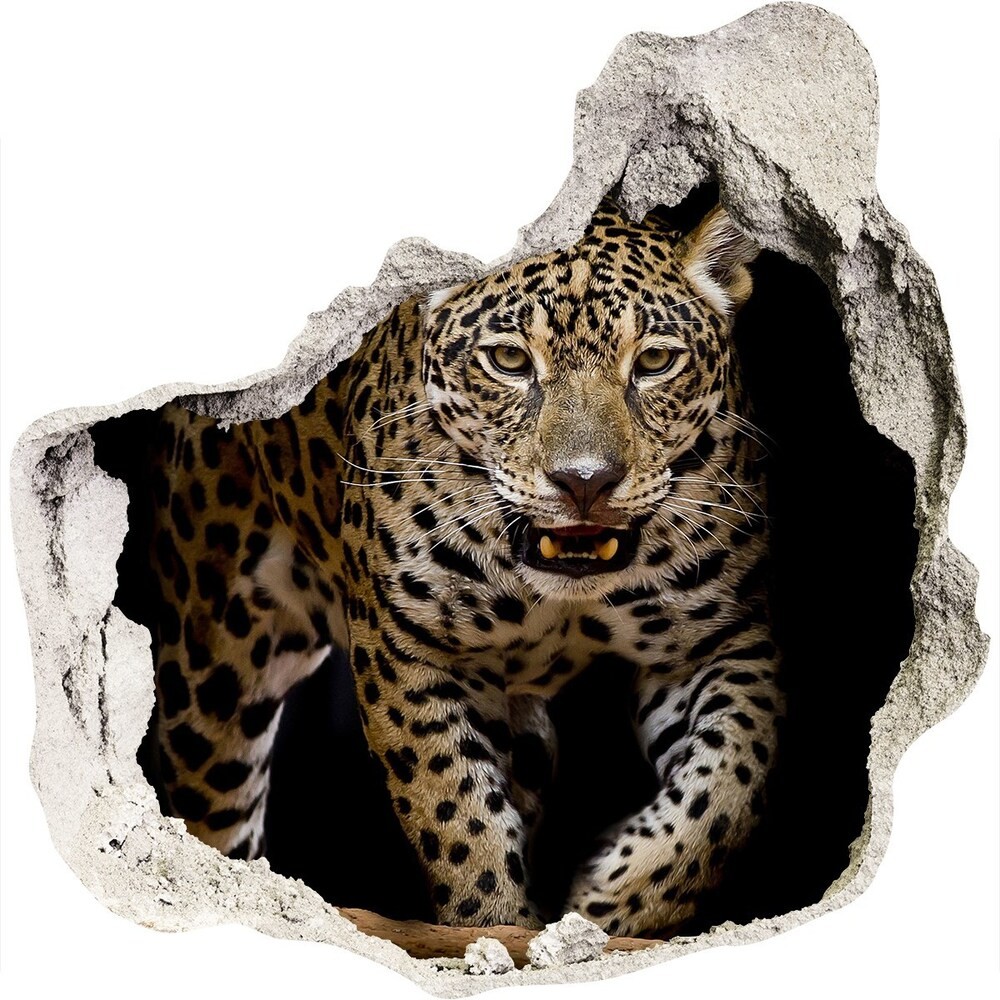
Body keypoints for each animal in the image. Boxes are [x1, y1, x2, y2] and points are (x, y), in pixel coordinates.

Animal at [143, 197, 782, 938]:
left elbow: (729, 786)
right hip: (213, 675)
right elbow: (457, 818)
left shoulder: (719, 641)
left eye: (653, 361)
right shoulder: (409, 652)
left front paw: (608, 906)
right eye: (508, 359)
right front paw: (495, 927)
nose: (585, 482)